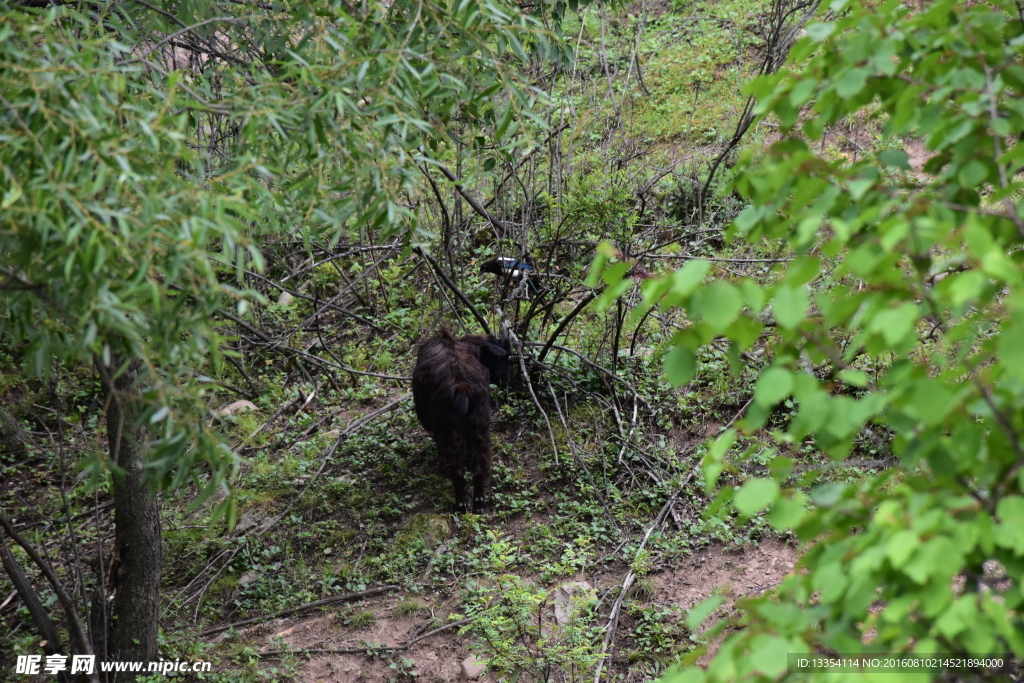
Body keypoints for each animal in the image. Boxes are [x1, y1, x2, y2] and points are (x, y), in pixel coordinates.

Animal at [409, 327, 509, 511]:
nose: (504, 381)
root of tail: (461, 387)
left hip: (448, 430)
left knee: (455, 469)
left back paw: (461, 503)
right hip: (480, 423)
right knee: (481, 462)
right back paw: (478, 501)